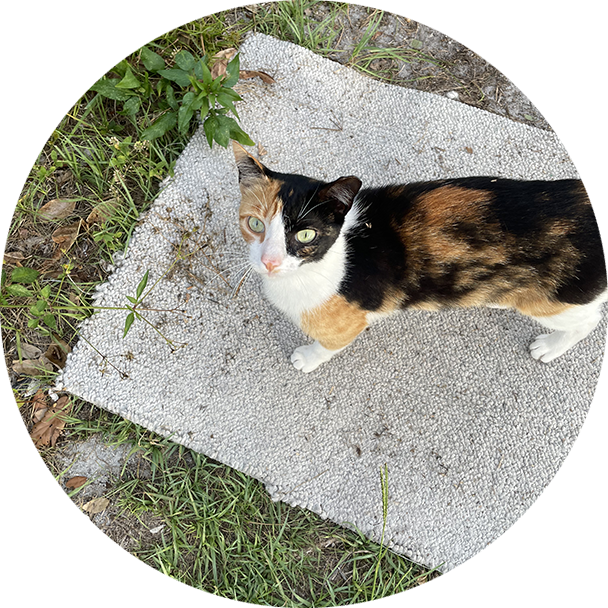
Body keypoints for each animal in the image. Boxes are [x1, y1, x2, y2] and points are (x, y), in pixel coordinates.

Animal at [233, 141, 608, 376]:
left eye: (305, 235)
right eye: (255, 224)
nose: (269, 261)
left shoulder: (347, 323)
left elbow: (328, 345)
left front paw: (307, 358)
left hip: (554, 301)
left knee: (589, 320)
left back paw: (550, 347)